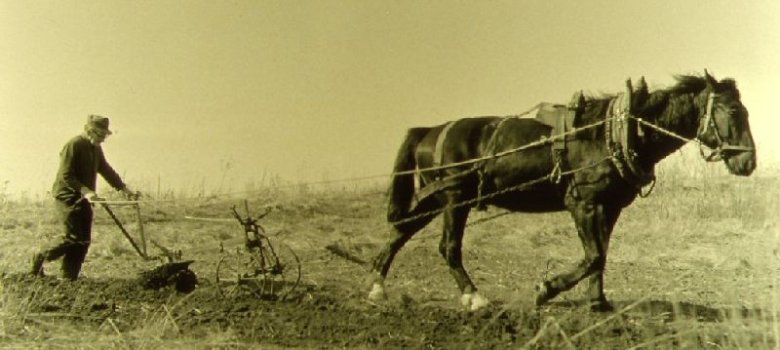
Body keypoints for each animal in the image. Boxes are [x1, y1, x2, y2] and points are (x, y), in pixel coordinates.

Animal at [366, 71, 756, 312]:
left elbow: (602, 255)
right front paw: (546, 289)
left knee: (401, 231)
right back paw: (474, 297)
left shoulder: (609, 206)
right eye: (732, 110)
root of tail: (431, 130)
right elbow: (593, 256)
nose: (748, 161)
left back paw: (376, 287)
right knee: (447, 247)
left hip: (435, 197)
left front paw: (598, 302)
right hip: (453, 200)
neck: (617, 132)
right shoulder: (582, 203)